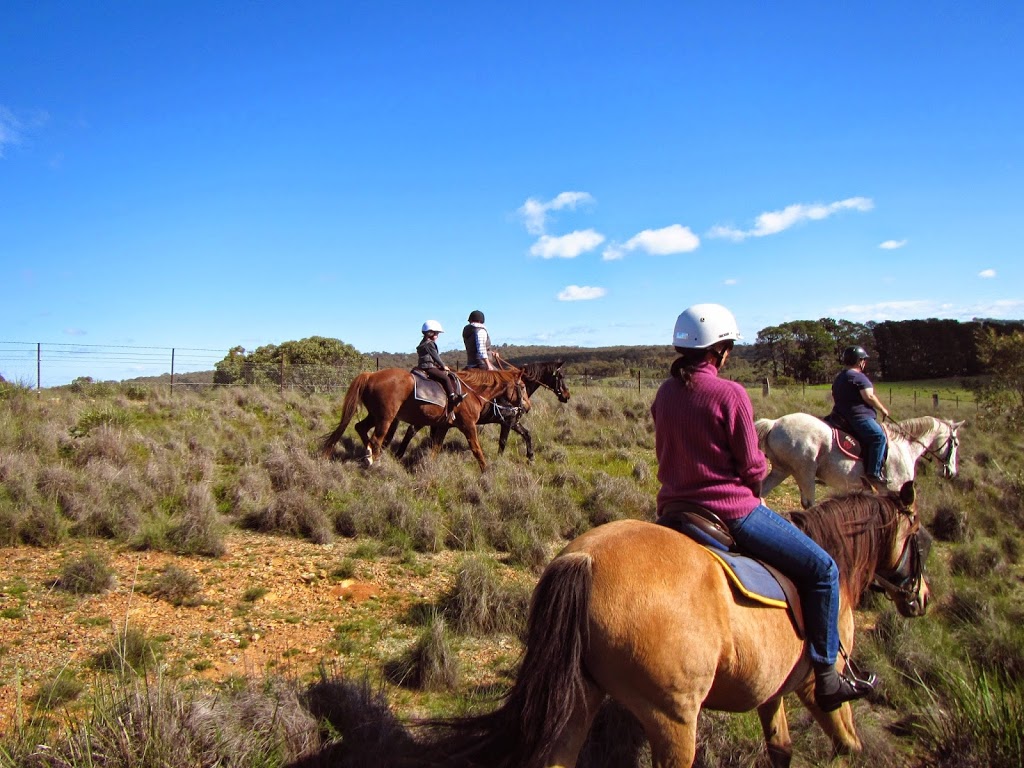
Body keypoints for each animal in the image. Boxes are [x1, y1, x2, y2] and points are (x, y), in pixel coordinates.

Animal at [317, 368, 528, 473]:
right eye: (523, 386)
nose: (526, 407)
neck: (472, 392)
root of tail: (371, 375)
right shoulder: (468, 426)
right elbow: (476, 449)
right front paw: (486, 470)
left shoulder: (443, 426)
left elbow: (435, 448)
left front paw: (429, 467)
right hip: (386, 417)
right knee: (376, 439)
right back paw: (374, 461)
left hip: (375, 415)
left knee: (360, 427)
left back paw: (368, 454)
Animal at [389, 362, 573, 462]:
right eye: (561, 376)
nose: (567, 395)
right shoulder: (508, 422)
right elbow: (505, 441)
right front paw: (503, 460)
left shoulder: (512, 423)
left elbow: (525, 435)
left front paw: (530, 457)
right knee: (411, 431)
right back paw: (399, 455)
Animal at [413, 483, 929, 765]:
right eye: (919, 536)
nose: (920, 599)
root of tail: (585, 559)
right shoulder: (816, 685)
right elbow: (849, 744)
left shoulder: (772, 690)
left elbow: (780, 748)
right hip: (674, 719)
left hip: (578, 700)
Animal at [757, 415, 962, 512]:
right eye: (956, 443)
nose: (951, 472)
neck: (904, 446)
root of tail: (775, 423)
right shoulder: (895, 489)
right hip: (804, 472)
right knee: (808, 504)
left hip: (782, 470)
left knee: (762, 492)